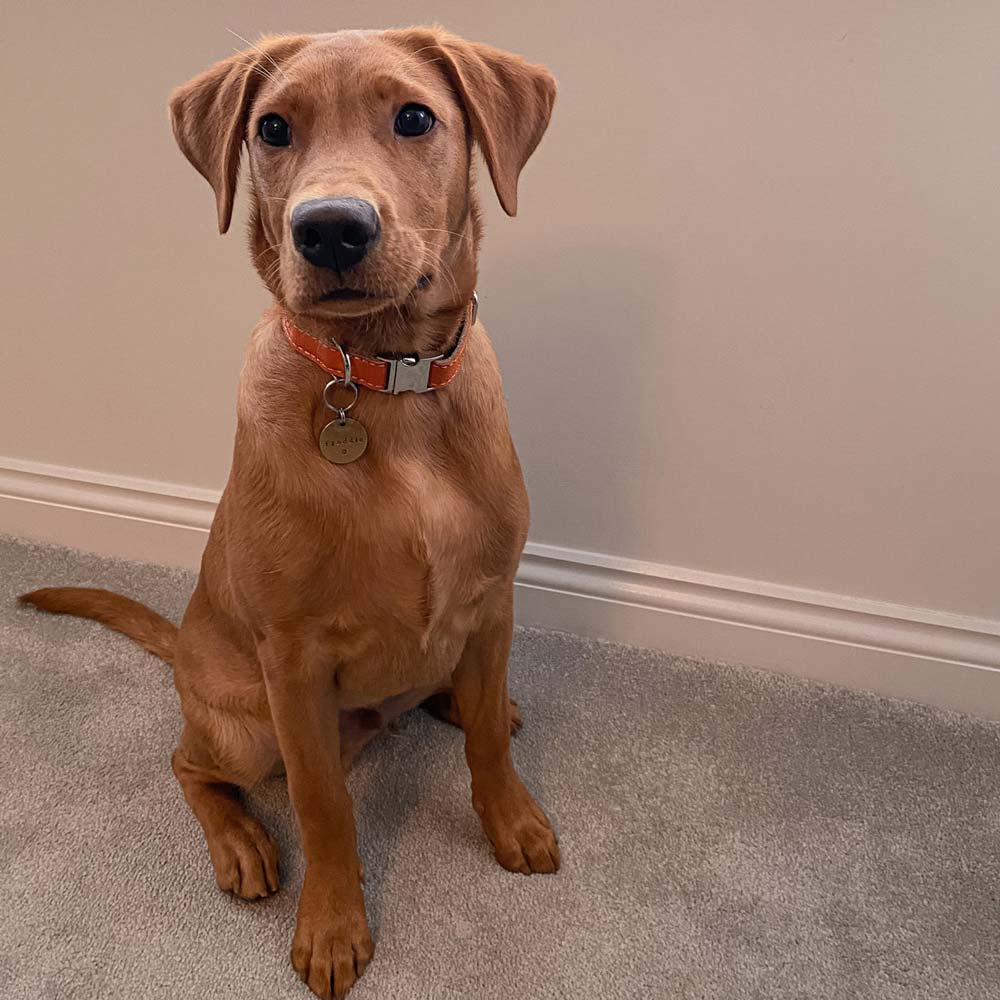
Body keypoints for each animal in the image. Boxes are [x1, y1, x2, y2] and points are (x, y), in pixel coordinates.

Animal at [19, 25, 560, 1000]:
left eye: (415, 117)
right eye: (272, 129)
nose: (331, 227)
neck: (385, 383)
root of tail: (184, 653)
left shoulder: (494, 597)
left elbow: (490, 756)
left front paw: (512, 819)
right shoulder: (296, 662)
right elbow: (323, 805)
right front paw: (334, 927)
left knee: (461, 696)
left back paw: (475, 704)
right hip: (244, 725)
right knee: (188, 761)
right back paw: (239, 844)